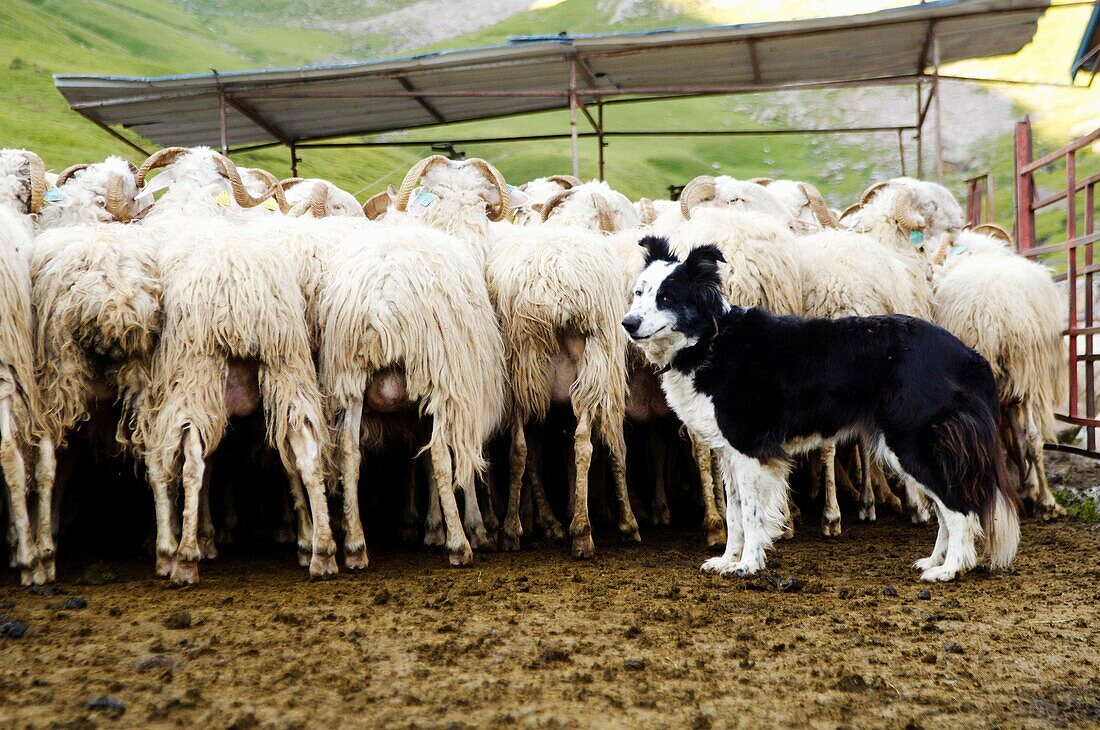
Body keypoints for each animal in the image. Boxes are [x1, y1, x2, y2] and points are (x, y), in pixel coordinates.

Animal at [624, 238, 1016, 580]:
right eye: (639, 293)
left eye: (667, 296)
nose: (628, 323)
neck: (710, 341)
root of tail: (968, 355)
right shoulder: (729, 453)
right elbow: (734, 513)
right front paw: (727, 560)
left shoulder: (749, 450)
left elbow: (751, 515)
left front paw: (747, 565)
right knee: (945, 509)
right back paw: (936, 561)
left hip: (912, 441)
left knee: (958, 507)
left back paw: (951, 569)